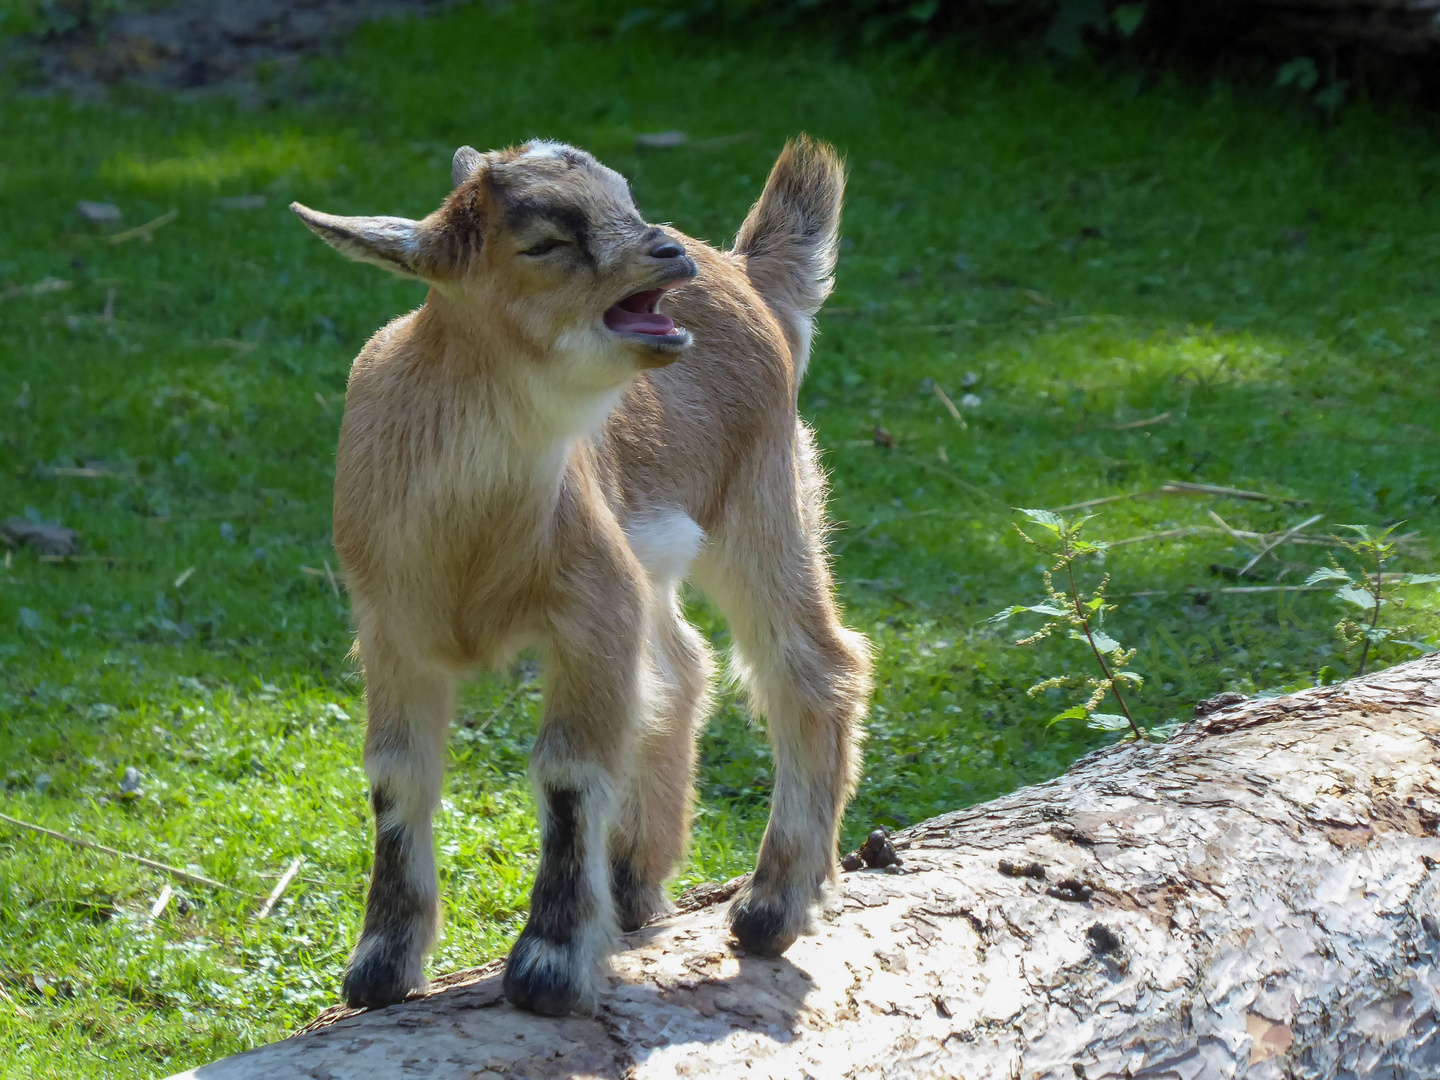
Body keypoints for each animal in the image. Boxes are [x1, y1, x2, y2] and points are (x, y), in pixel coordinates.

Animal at [292, 135, 869, 1013]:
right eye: (544, 243)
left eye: (625, 200)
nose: (664, 253)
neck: (473, 536)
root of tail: (744, 268)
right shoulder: (389, 627)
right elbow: (396, 778)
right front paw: (380, 969)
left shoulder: (590, 609)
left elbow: (567, 774)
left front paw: (549, 965)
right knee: (685, 670)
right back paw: (633, 884)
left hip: (767, 495)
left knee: (812, 666)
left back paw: (772, 906)